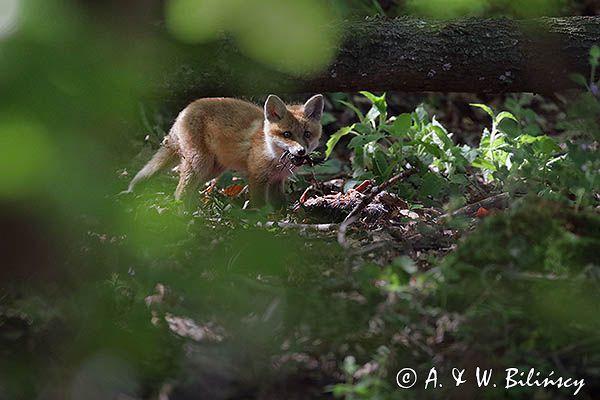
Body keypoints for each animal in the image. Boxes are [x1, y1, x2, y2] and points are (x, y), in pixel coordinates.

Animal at [125, 94, 324, 206]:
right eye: (287, 134)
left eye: (307, 134)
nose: (301, 152)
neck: (272, 154)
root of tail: (183, 111)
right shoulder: (256, 177)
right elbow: (260, 206)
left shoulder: (277, 181)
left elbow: (280, 206)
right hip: (200, 164)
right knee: (180, 191)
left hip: (213, 170)